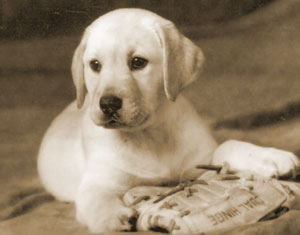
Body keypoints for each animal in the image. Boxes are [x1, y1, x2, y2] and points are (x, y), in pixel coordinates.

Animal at [38, 7, 300, 233]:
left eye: (138, 62)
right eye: (94, 65)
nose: (108, 104)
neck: (148, 134)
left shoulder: (199, 159)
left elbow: (227, 145)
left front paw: (269, 157)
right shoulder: (99, 179)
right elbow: (96, 197)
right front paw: (112, 217)